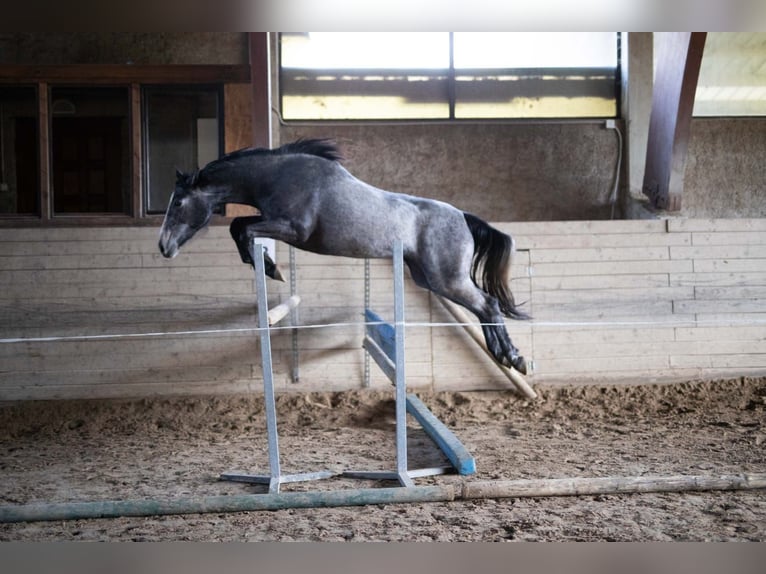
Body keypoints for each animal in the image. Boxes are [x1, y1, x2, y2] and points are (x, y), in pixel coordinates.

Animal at [159, 138, 532, 376]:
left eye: (178, 202)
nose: (164, 247)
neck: (278, 175)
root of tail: (463, 216)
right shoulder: (273, 222)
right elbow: (239, 226)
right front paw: (266, 265)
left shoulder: (293, 229)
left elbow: (241, 228)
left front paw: (270, 268)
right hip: (429, 279)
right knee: (484, 308)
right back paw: (504, 356)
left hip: (447, 279)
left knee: (488, 305)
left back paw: (514, 357)